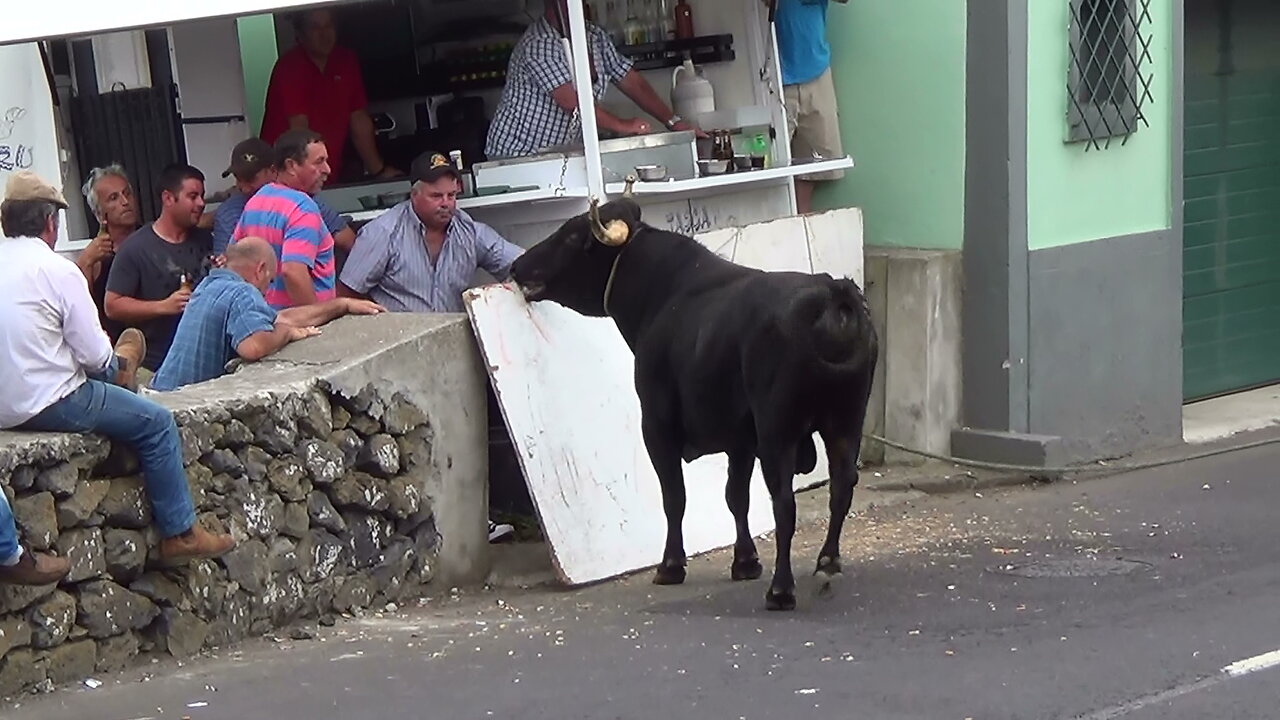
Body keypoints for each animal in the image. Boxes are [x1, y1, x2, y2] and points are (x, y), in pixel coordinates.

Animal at [509, 194, 880, 604]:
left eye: (573, 236)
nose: (517, 265)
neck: (662, 294)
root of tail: (833, 294)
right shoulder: (740, 438)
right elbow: (736, 496)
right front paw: (745, 561)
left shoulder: (657, 425)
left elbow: (675, 497)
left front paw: (671, 565)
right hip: (846, 420)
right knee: (841, 487)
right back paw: (827, 563)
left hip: (778, 431)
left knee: (784, 503)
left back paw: (781, 589)